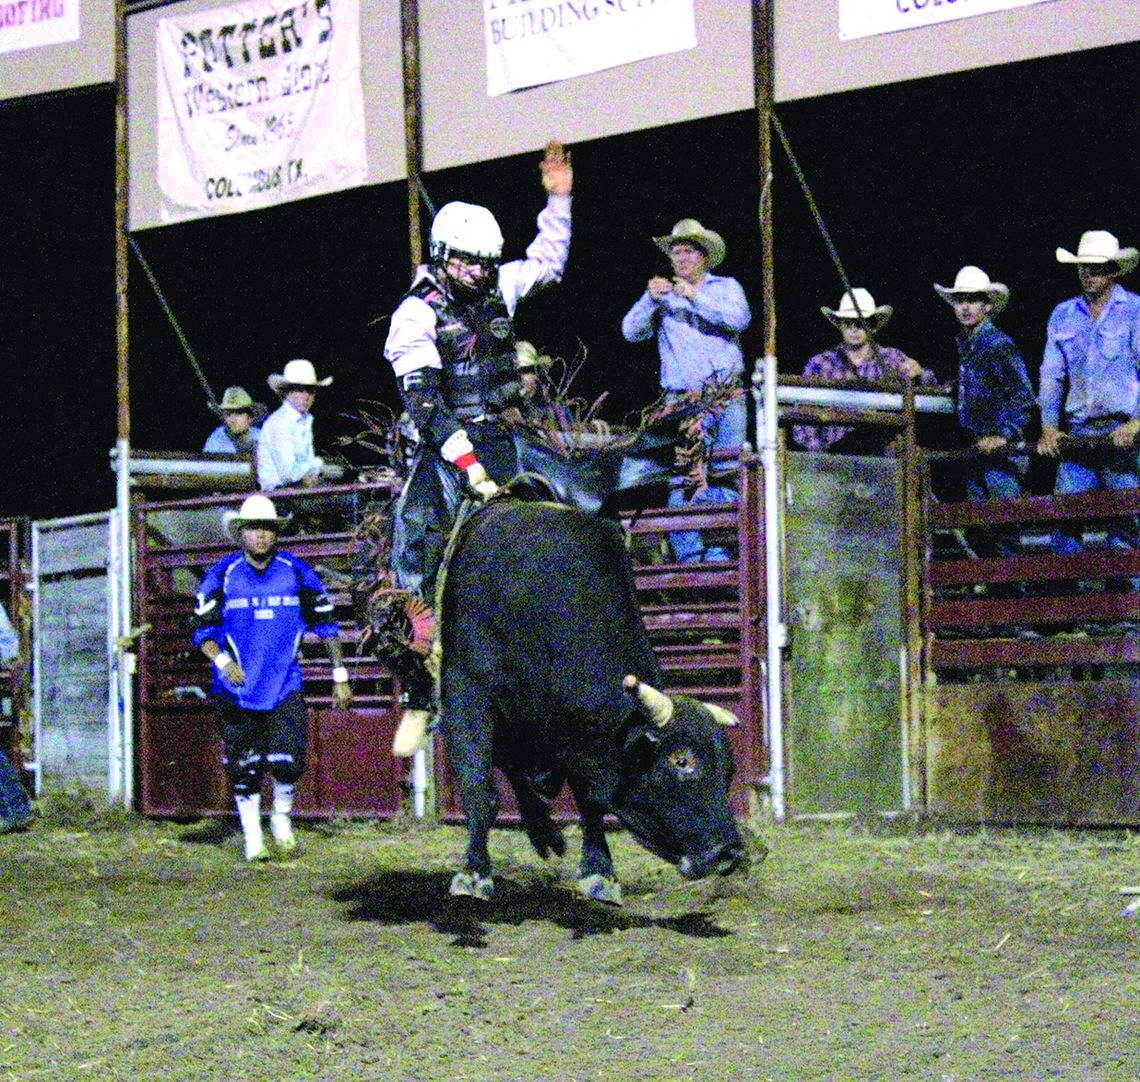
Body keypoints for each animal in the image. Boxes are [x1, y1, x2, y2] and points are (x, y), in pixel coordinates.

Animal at [435, 497, 747, 902]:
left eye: (730, 768)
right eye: (681, 761)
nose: (730, 852)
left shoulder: (576, 736)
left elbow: (588, 797)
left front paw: (599, 871)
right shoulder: (466, 691)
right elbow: (480, 787)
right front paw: (474, 873)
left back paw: (547, 833)